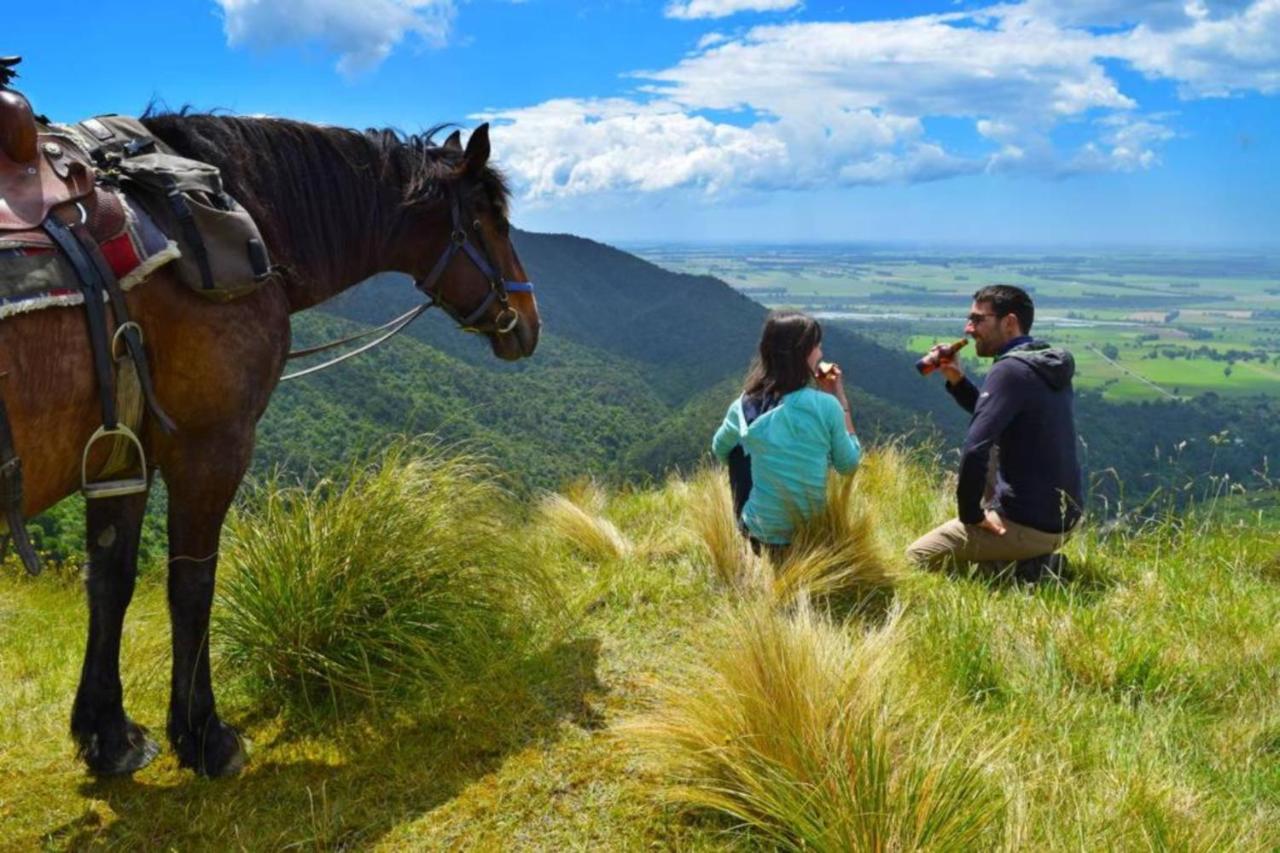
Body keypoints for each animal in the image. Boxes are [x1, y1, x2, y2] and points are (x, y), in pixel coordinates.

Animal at [0, 109, 540, 773]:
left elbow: (111, 580)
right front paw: (204, 735)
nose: (530, 320)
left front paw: (109, 735)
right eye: (493, 223)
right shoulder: (211, 447)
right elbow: (192, 586)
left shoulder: (121, 451)